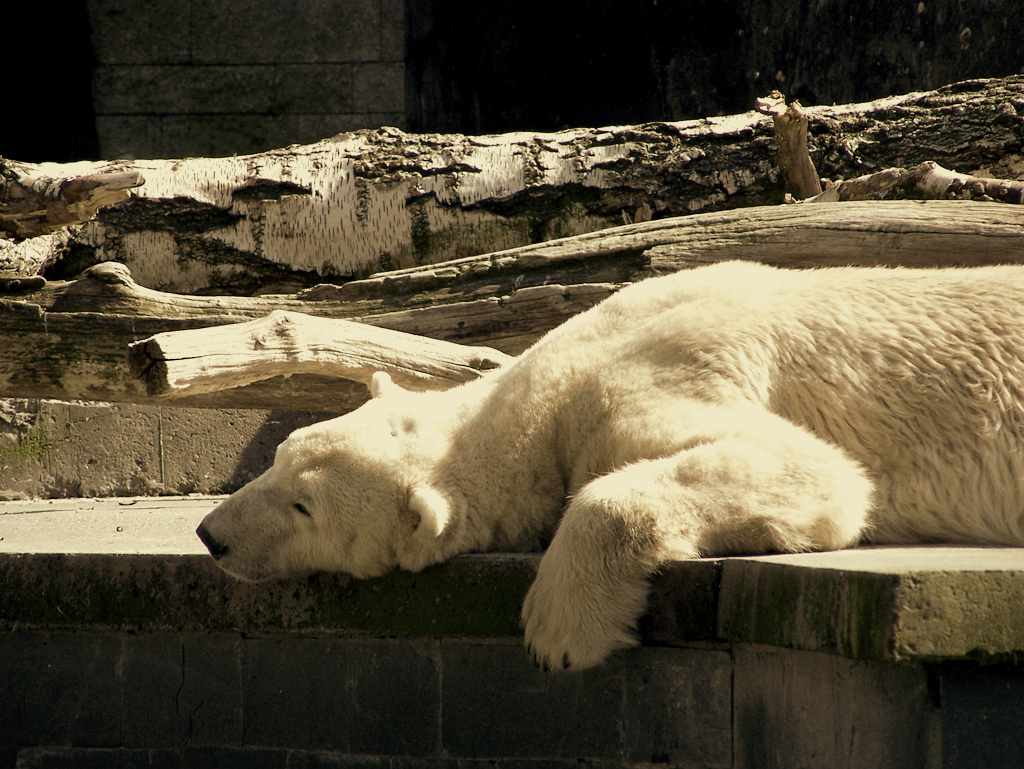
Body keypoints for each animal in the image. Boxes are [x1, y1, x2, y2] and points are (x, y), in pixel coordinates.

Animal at [195, 262, 1024, 671]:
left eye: (304, 507)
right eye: (275, 459)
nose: (211, 535)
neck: (538, 396)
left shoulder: (656, 377)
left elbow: (818, 472)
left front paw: (562, 628)